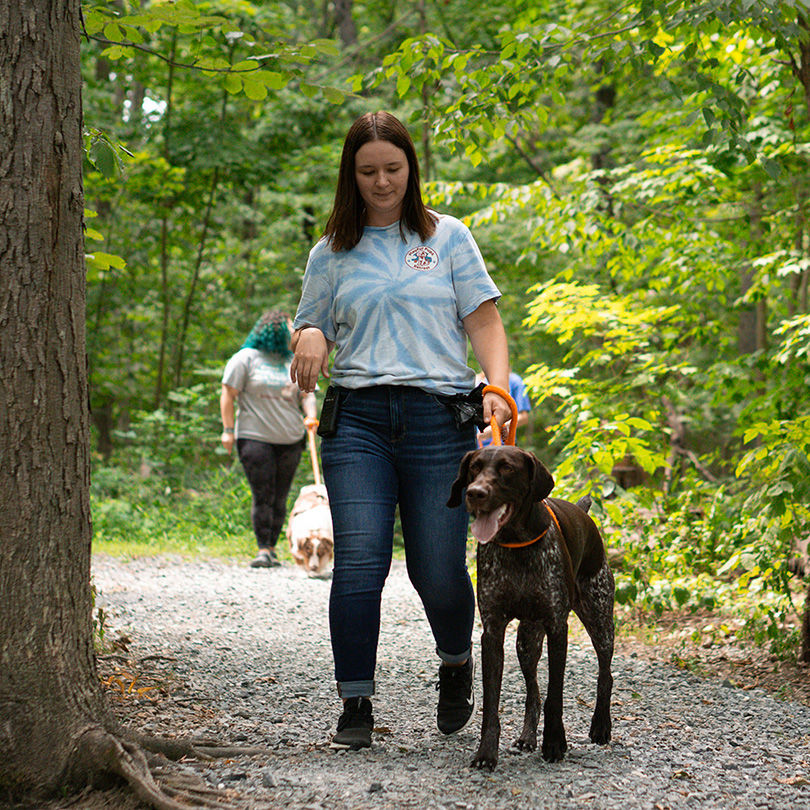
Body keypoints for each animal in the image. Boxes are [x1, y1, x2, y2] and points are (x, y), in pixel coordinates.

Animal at [448, 446, 612, 768]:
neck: (516, 543)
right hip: (526, 640)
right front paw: (486, 753)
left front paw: (554, 743)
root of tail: (582, 512)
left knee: (605, 674)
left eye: (507, 468)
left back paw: (601, 726)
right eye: (474, 467)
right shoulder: (493, 632)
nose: (475, 493)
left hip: (599, 618)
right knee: (533, 692)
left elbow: (555, 697)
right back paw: (527, 737)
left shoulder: (558, 629)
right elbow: (493, 704)